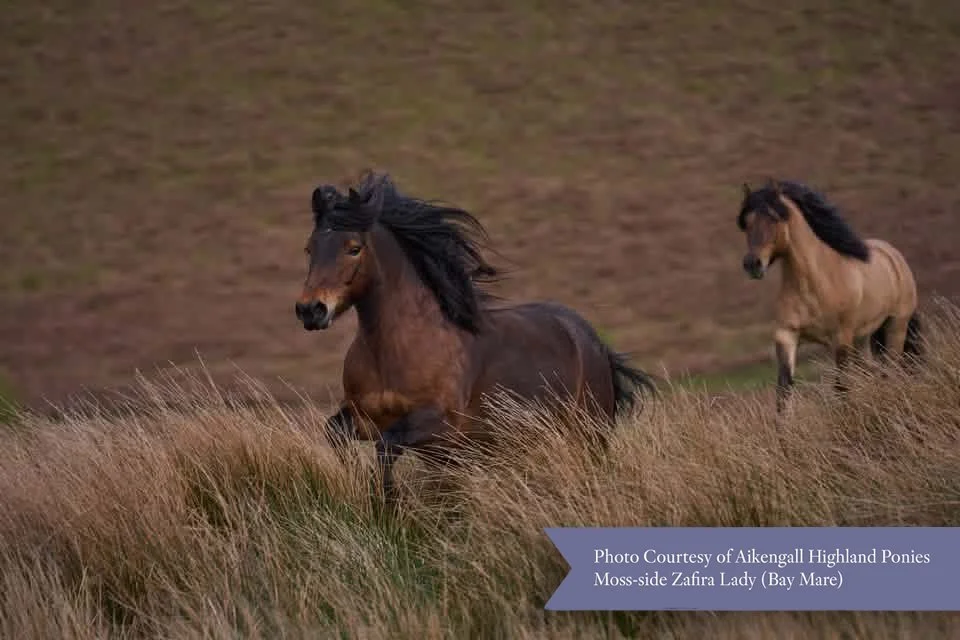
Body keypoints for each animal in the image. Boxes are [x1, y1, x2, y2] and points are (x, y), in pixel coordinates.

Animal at [295, 171, 656, 503]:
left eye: (353, 248)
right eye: (310, 248)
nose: (310, 310)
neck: (394, 349)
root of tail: (595, 343)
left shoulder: (441, 426)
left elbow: (386, 448)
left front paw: (389, 505)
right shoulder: (363, 417)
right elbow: (336, 434)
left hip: (588, 433)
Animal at [736, 178, 923, 414]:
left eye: (773, 217)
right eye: (746, 222)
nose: (752, 264)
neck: (815, 284)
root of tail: (894, 256)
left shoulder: (841, 338)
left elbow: (842, 387)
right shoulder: (786, 335)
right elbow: (784, 391)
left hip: (896, 327)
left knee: (891, 369)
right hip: (863, 337)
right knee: (871, 371)